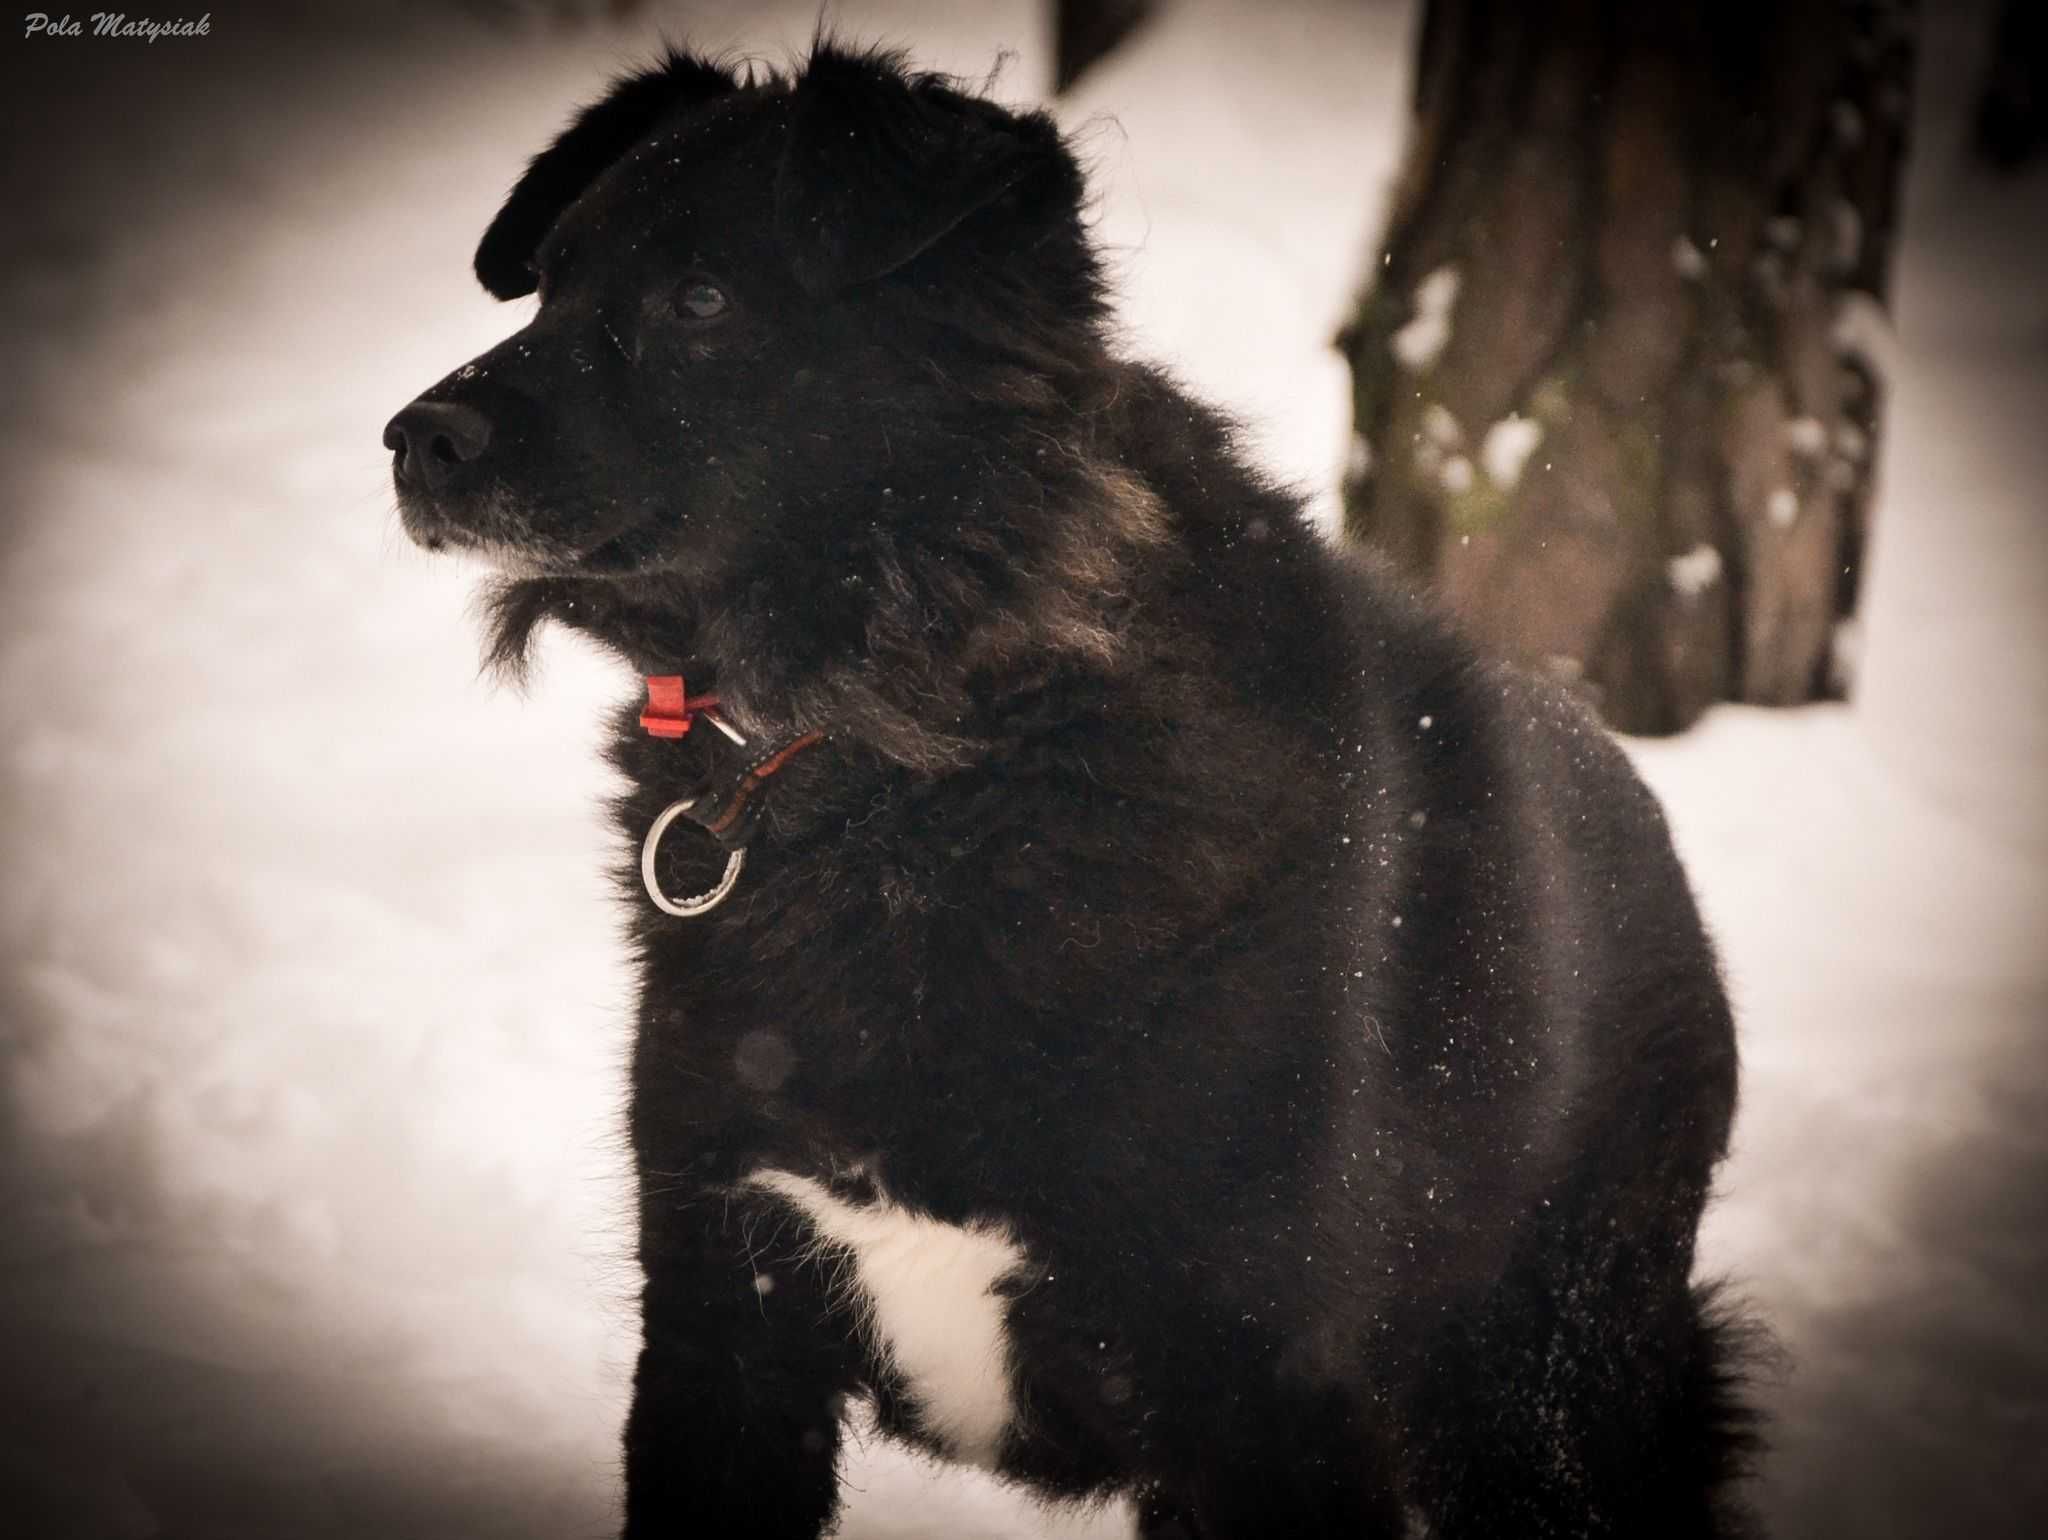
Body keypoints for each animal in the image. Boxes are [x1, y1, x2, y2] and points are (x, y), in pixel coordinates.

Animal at [387, 45, 1761, 1540]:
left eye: (699, 298)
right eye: (549, 285)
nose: (412, 438)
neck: (921, 750)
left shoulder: (1259, 1403)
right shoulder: (722, 1306)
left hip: (1539, 1405)